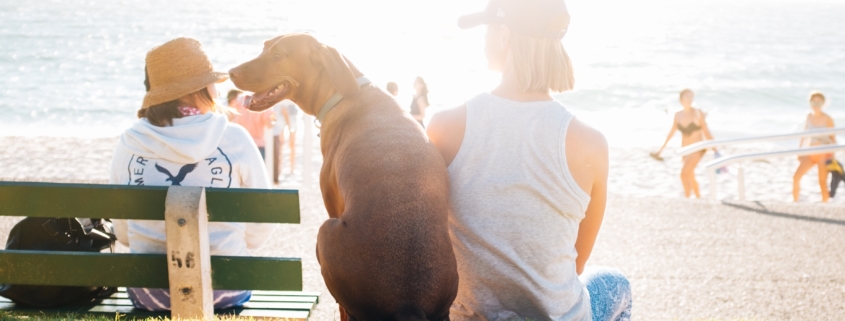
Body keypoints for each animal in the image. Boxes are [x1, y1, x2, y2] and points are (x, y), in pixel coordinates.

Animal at [227, 34, 458, 320]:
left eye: (279, 55)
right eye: (264, 47)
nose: (230, 72)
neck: (342, 92)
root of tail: (409, 304)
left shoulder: (332, 204)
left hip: (325, 232)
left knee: (344, 307)